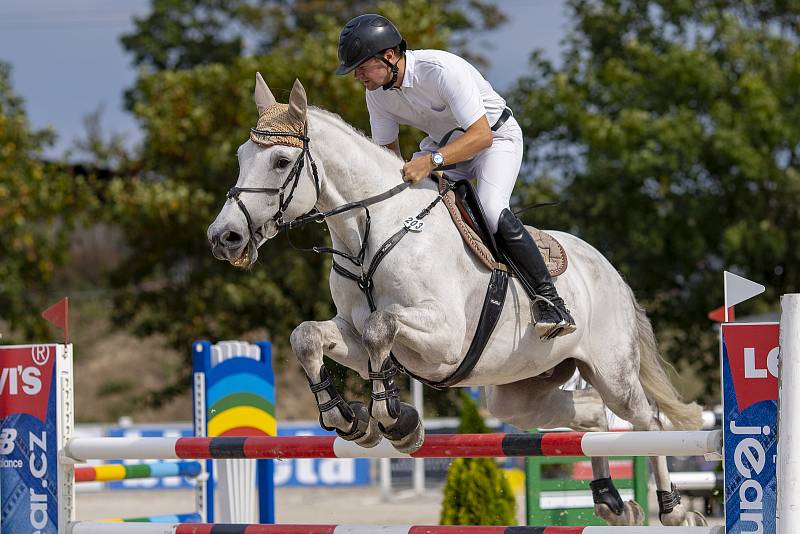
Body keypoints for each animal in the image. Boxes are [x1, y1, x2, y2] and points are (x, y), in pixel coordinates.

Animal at [208, 74, 708, 528]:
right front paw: (351, 420)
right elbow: (309, 336)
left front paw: (396, 421)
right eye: (240, 157)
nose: (224, 237)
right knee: (589, 415)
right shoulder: (351, 330)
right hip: (518, 393)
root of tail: (609, 270)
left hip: (613, 373)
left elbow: (379, 328)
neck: (371, 231)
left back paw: (674, 510)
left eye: (281, 160)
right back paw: (610, 500)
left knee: (648, 422)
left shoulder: (443, 339)